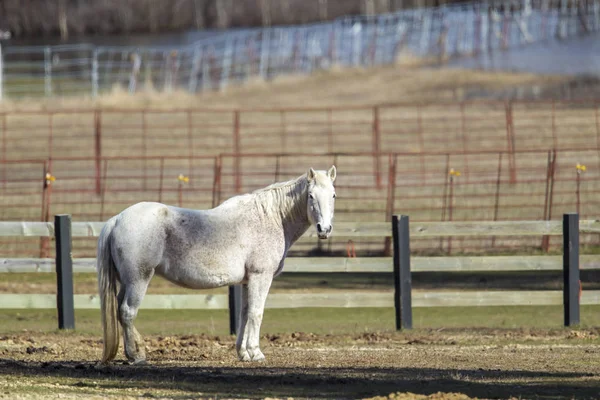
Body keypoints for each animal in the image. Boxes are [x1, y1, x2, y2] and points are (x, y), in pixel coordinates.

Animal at [96, 165, 336, 362]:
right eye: (311, 196)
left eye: (333, 195)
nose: (324, 229)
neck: (270, 218)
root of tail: (117, 219)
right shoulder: (261, 276)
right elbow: (256, 313)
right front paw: (256, 353)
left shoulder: (247, 281)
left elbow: (244, 314)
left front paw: (243, 353)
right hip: (139, 280)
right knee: (127, 311)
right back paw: (136, 356)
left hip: (127, 282)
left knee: (119, 309)